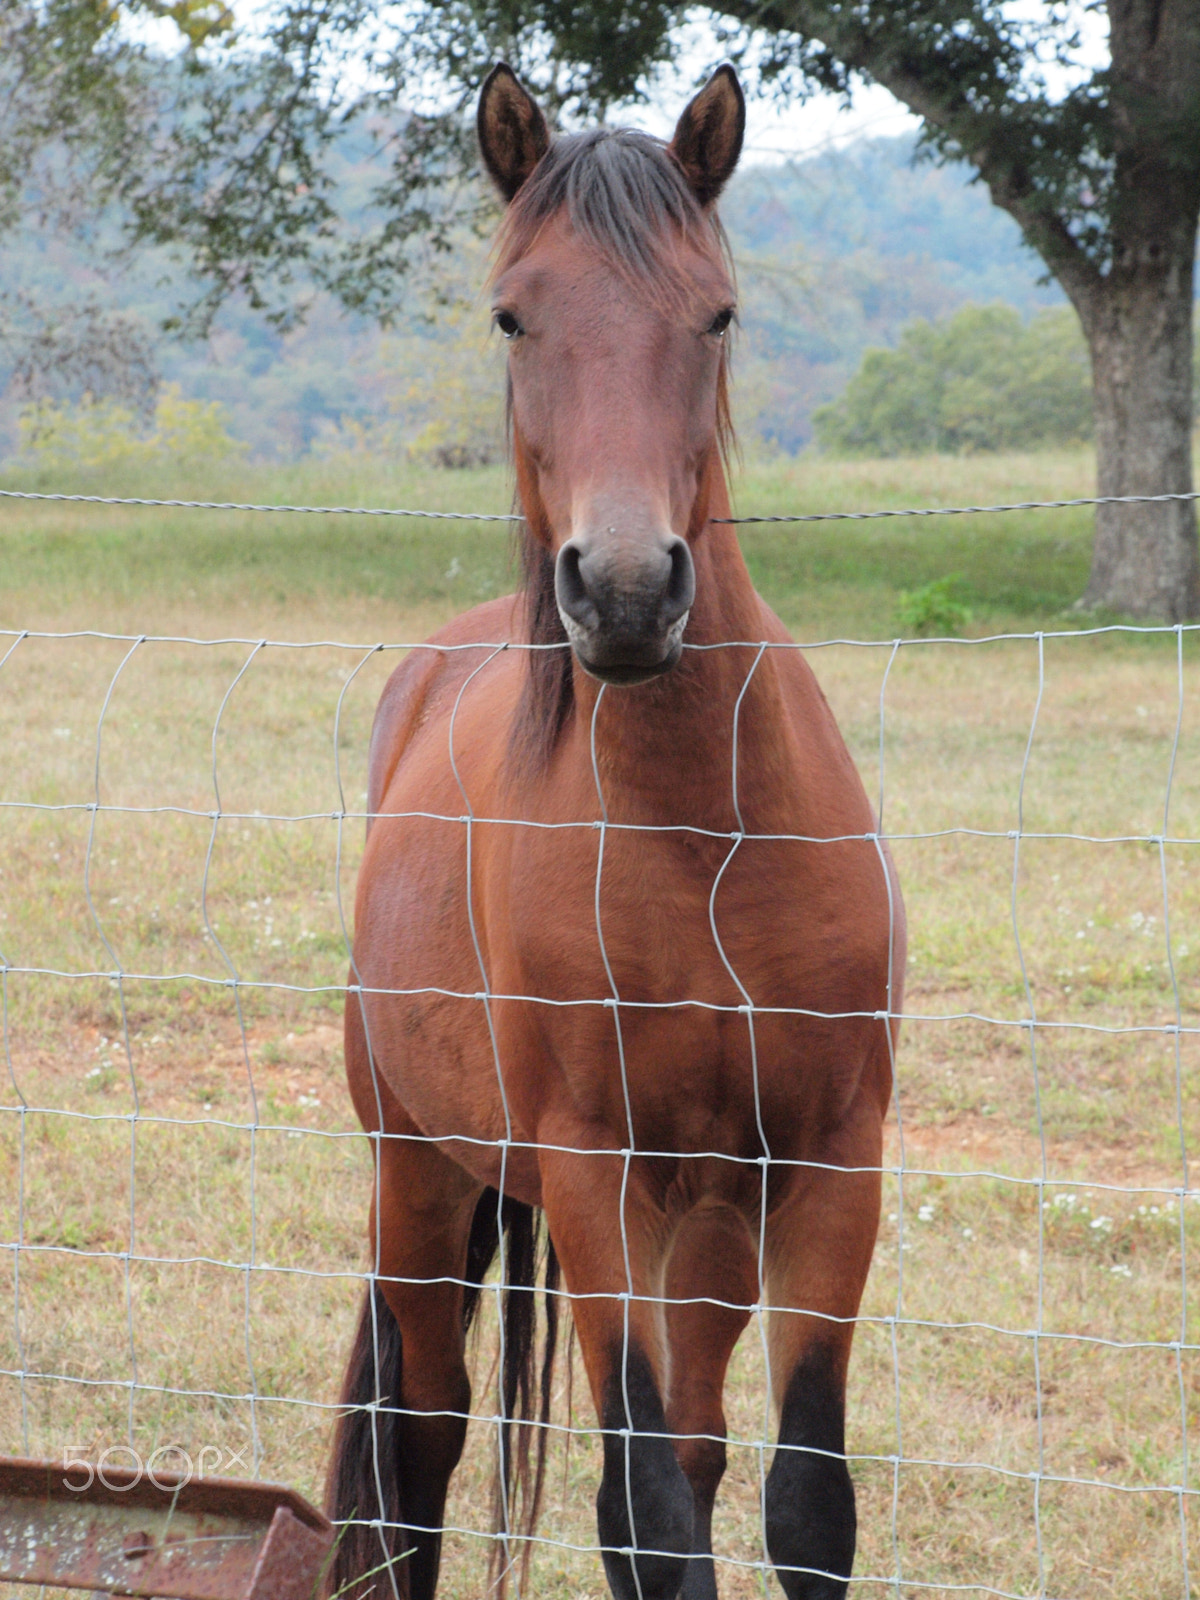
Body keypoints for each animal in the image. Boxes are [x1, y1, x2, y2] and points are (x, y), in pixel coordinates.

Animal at [324, 56, 908, 1600]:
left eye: (718, 313)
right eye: (511, 312)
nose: (632, 589)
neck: (708, 845)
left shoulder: (829, 1166)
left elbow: (802, 1502)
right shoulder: (594, 1179)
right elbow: (638, 1508)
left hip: (700, 1229)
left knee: (695, 1448)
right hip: (422, 1173)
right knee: (420, 1435)